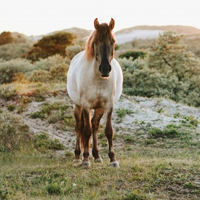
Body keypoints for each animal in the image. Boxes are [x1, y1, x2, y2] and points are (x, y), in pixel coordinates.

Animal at [67, 18, 122, 167]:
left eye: (112, 41)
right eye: (96, 42)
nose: (105, 69)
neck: (98, 79)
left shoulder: (108, 105)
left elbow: (108, 131)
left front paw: (113, 159)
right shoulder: (86, 105)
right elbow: (86, 130)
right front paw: (85, 160)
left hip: (99, 108)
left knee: (95, 125)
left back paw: (97, 155)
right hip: (77, 105)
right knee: (79, 126)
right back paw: (78, 156)